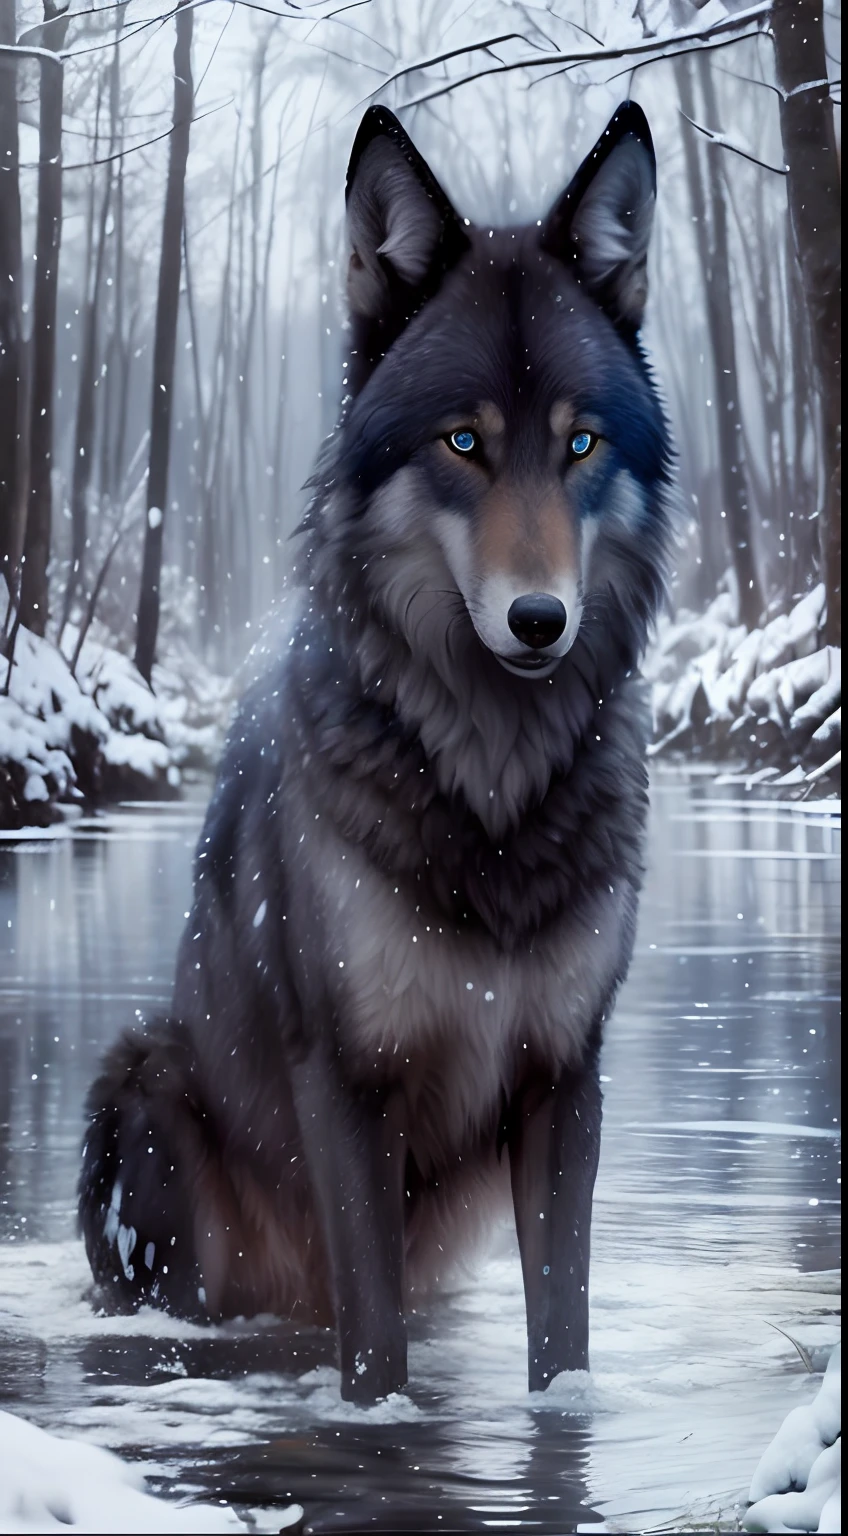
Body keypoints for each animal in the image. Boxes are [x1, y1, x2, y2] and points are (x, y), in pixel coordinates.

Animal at [79, 100, 673, 1403]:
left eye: (579, 445)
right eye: (462, 442)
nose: (539, 620)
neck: (489, 776)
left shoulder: (567, 1078)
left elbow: (562, 1341)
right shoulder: (349, 1078)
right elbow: (373, 1354)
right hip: (143, 1082)